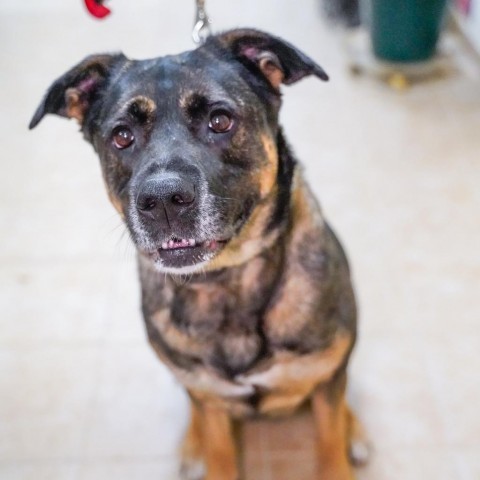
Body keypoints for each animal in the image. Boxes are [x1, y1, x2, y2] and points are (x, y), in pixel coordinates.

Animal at [29, 29, 368, 480]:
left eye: (220, 121)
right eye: (122, 135)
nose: (162, 201)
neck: (226, 281)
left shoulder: (326, 377)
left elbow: (330, 441)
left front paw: (343, 439)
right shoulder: (209, 399)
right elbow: (218, 447)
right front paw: (204, 450)